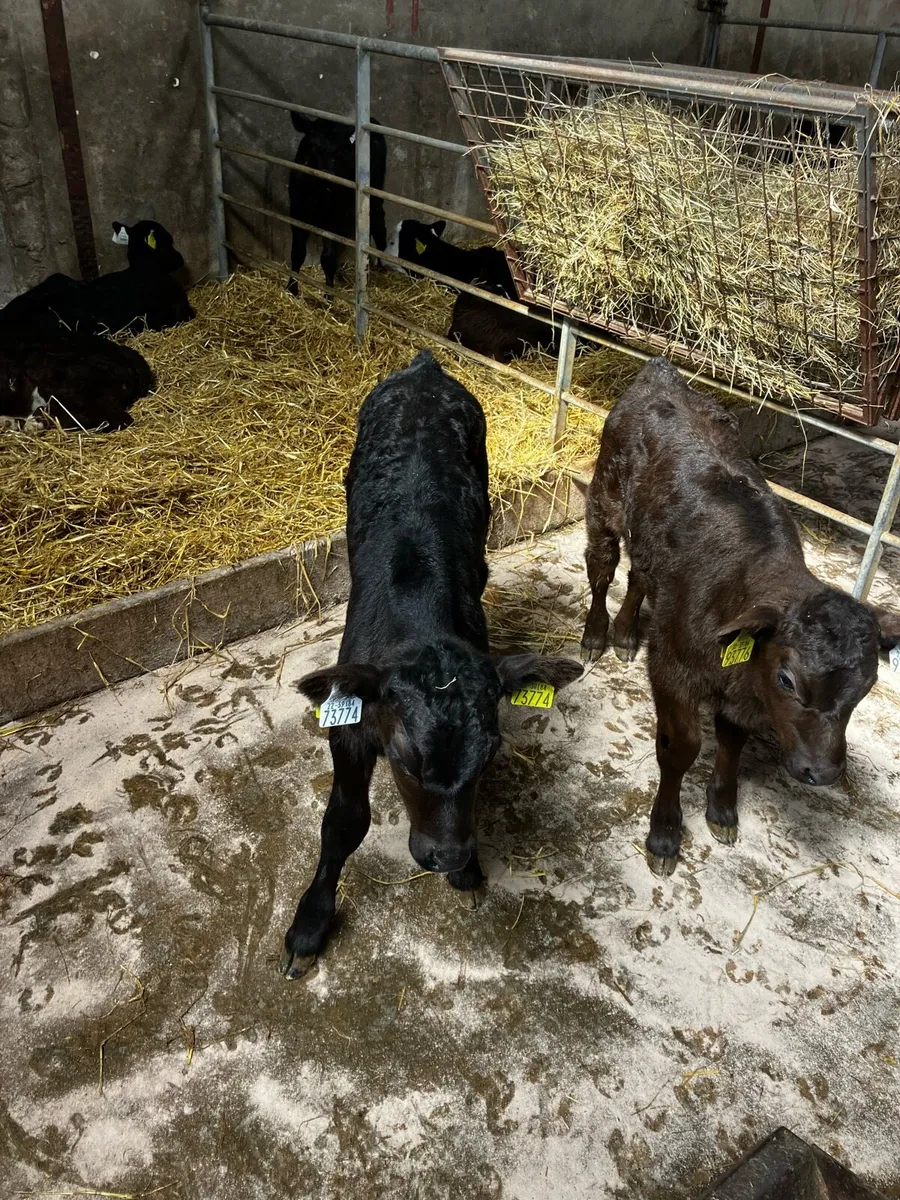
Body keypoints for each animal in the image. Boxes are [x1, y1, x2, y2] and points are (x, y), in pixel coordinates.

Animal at [282, 349, 582, 977]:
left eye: (490, 753)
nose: (446, 855)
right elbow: (343, 824)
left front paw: (470, 869)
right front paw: (310, 924)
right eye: (402, 759)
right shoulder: (351, 725)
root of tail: (424, 368)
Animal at [287, 112, 387, 292]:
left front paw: (329, 293)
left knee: (378, 221)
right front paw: (292, 287)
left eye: (340, 150)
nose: (328, 174)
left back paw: (381, 261)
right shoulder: (297, 210)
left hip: (374, 190)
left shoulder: (333, 217)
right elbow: (297, 251)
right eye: (313, 145)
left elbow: (327, 258)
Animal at [580, 356, 900, 876]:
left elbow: (732, 743)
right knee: (603, 565)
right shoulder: (671, 669)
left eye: (869, 684)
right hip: (605, 496)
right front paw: (664, 835)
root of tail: (661, 371)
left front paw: (724, 811)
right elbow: (680, 749)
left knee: (639, 576)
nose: (823, 772)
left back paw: (626, 634)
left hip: (650, 543)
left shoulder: (742, 689)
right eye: (787, 680)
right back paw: (595, 636)